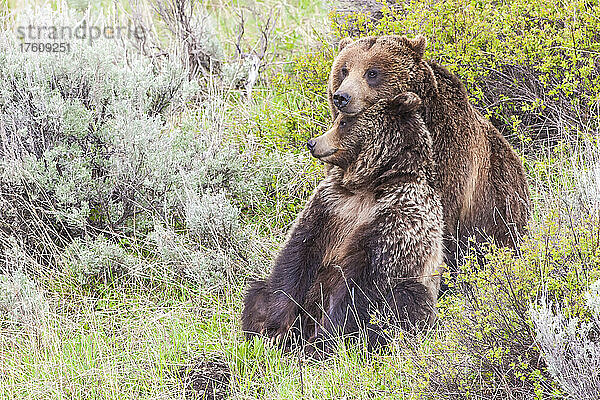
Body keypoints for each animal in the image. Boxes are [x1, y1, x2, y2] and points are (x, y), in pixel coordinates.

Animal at [241, 90, 442, 354]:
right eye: (337, 120)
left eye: (344, 123)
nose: (313, 143)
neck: (370, 184)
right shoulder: (331, 204)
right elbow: (298, 253)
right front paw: (276, 330)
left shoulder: (399, 216)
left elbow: (360, 281)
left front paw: (325, 339)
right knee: (257, 291)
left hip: (418, 290)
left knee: (405, 301)